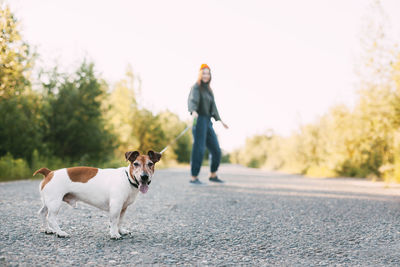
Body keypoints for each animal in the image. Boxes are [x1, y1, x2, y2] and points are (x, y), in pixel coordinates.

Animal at [32, 151, 161, 241]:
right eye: (136, 164)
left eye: (150, 164)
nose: (144, 176)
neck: (127, 178)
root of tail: (49, 172)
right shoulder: (115, 206)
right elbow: (114, 221)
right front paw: (114, 234)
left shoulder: (123, 208)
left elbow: (120, 221)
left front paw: (121, 230)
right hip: (55, 203)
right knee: (51, 218)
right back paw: (60, 232)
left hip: (48, 202)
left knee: (42, 213)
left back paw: (48, 230)